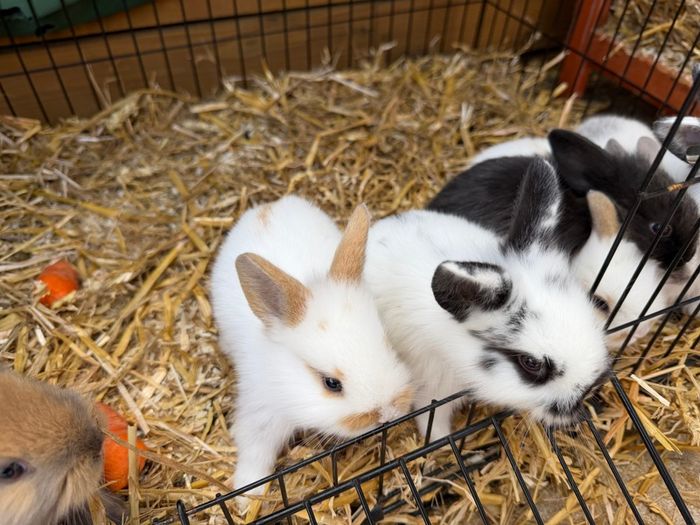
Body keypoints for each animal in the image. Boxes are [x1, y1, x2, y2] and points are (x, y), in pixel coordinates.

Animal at [210, 196, 413, 496]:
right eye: (331, 383)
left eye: (388, 345)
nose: (387, 413)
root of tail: (269, 206)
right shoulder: (261, 412)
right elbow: (254, 454)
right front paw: (248, 496)